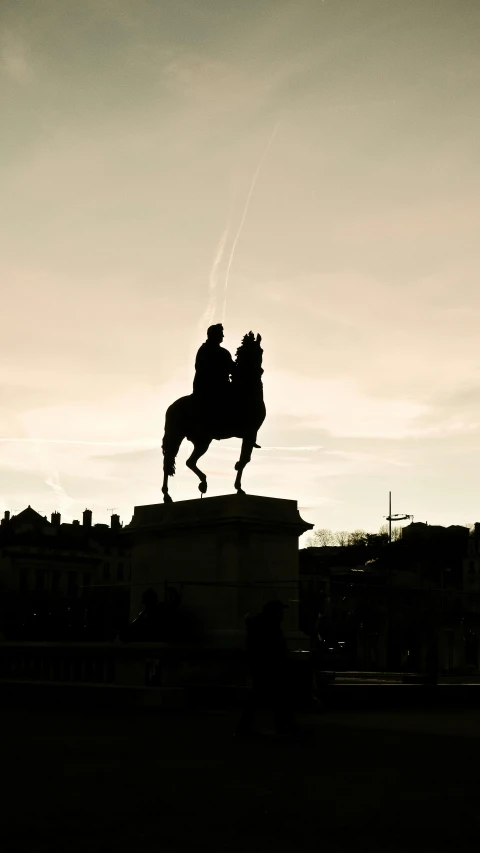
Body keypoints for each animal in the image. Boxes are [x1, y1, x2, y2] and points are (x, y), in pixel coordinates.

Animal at [161, 332, 266, 502]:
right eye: (260, 350)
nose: (260, 371)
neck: (245, 389)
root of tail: (171, 407)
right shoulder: (250, 433)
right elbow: (245, 459)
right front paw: (238, 486)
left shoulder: (249, 435)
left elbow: (245, 459)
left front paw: (238, 481)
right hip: (188, 438)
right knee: (174, 460)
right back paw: (169, 494)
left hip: (197, 439)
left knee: (185, 461)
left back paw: (196, 486)